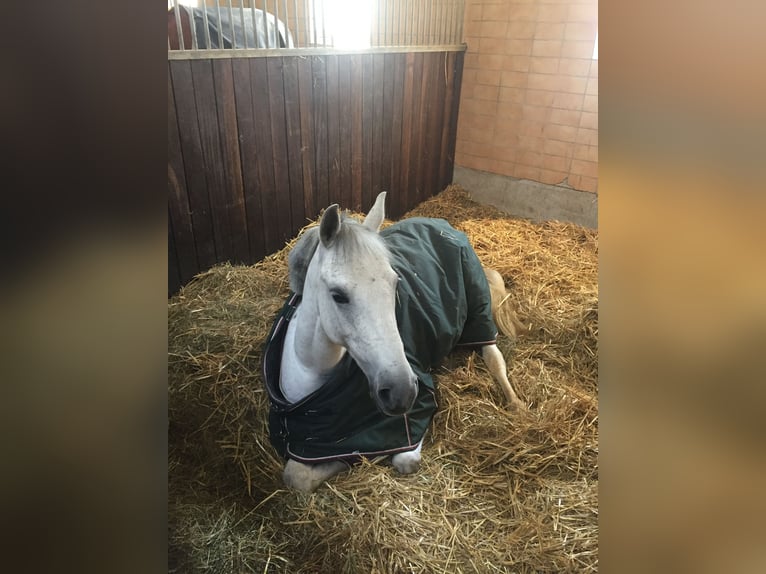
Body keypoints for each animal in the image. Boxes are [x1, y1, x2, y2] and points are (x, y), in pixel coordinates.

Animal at [264, 194, 528, 496]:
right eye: (338, 295)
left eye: (395, 284)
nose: (402, 392)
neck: (310, 371)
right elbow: (296, 475)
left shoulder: (415, 414)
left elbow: (403, 460)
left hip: (478, 313)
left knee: (494, 357)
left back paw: (516, 404)